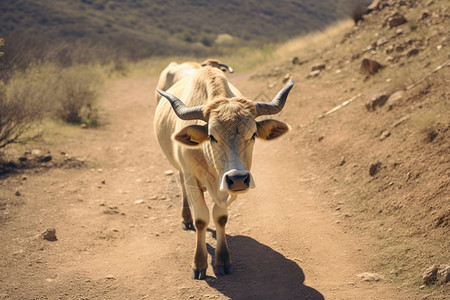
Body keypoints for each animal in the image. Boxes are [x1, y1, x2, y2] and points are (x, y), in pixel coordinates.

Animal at [154, 64, 296, 280]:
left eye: (253, 134)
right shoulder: (191, 177)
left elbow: (220, 218)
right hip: (180, 168)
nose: (237, 178)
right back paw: (186, 217)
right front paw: (199, 263)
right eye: (212, 136)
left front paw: (222, 260)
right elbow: (201, 219)